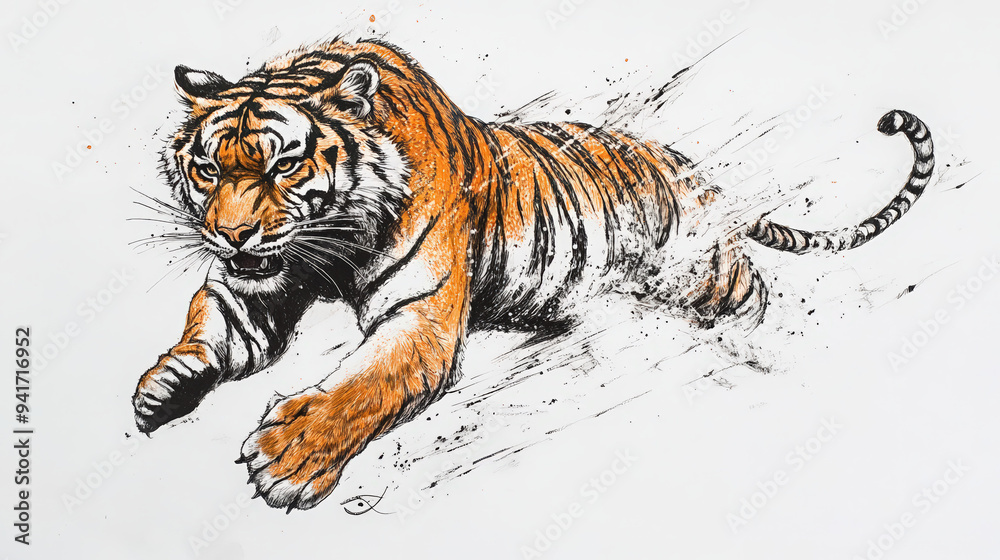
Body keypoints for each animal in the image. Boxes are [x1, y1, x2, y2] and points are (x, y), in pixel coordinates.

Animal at [132, 37, 934, 511]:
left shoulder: (419, 316)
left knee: (753, 292)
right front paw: (161, 391)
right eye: (208, 170)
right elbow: (211, 322)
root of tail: (698, 176)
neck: (330, 245)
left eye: (283, 166)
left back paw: (748, 344)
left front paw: (290, 458)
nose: (231, 232)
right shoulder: (253, 285)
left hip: (705, 272)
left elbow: (365, 386)